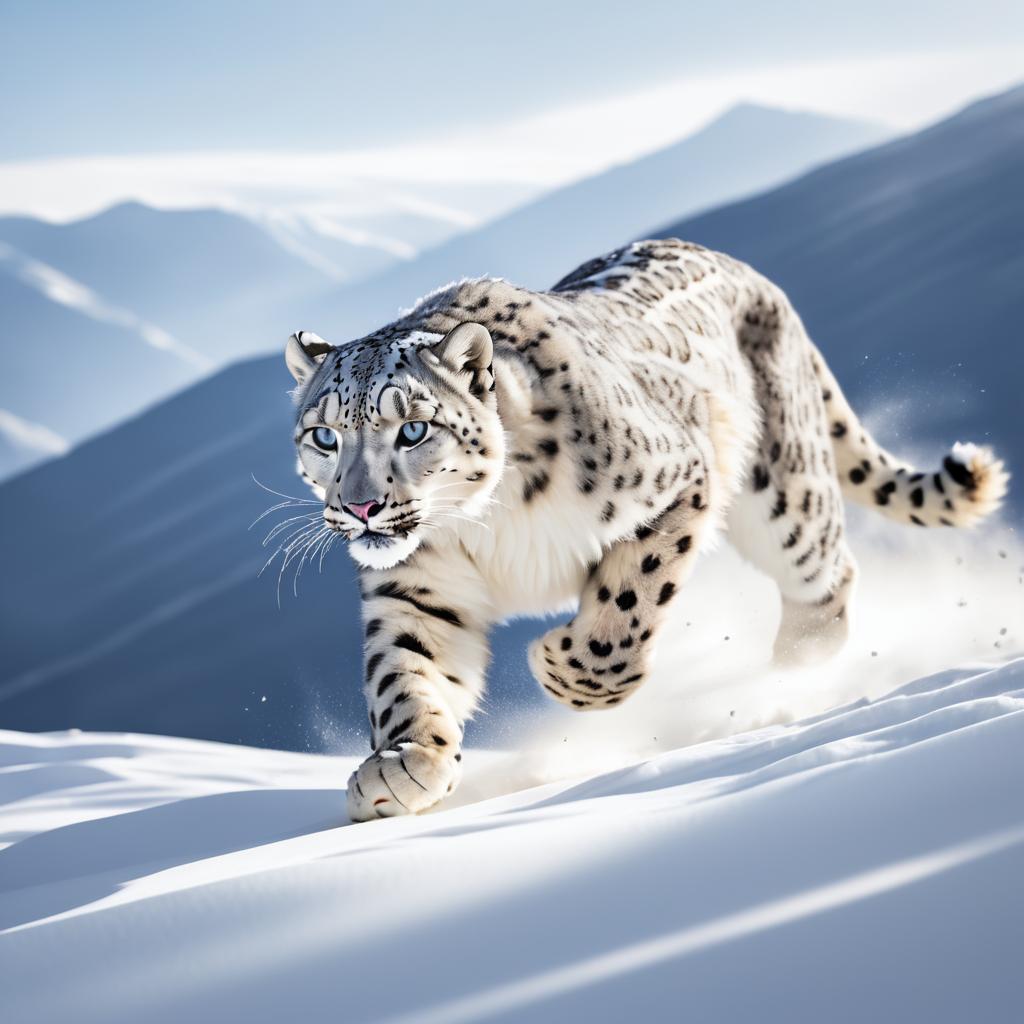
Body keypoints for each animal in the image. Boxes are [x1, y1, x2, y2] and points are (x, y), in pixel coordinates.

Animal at [282, 235, 1007, 819]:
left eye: (412, 428)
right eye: (324, 435)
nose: (361, 507)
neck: (485, 521)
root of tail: (743, 268)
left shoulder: (677, 477)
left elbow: (625, 609)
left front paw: (561, 669)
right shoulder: (417, 587)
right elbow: (407, 673)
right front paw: (405, 765)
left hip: (786, 493)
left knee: (829, 571)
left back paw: (793, 669)